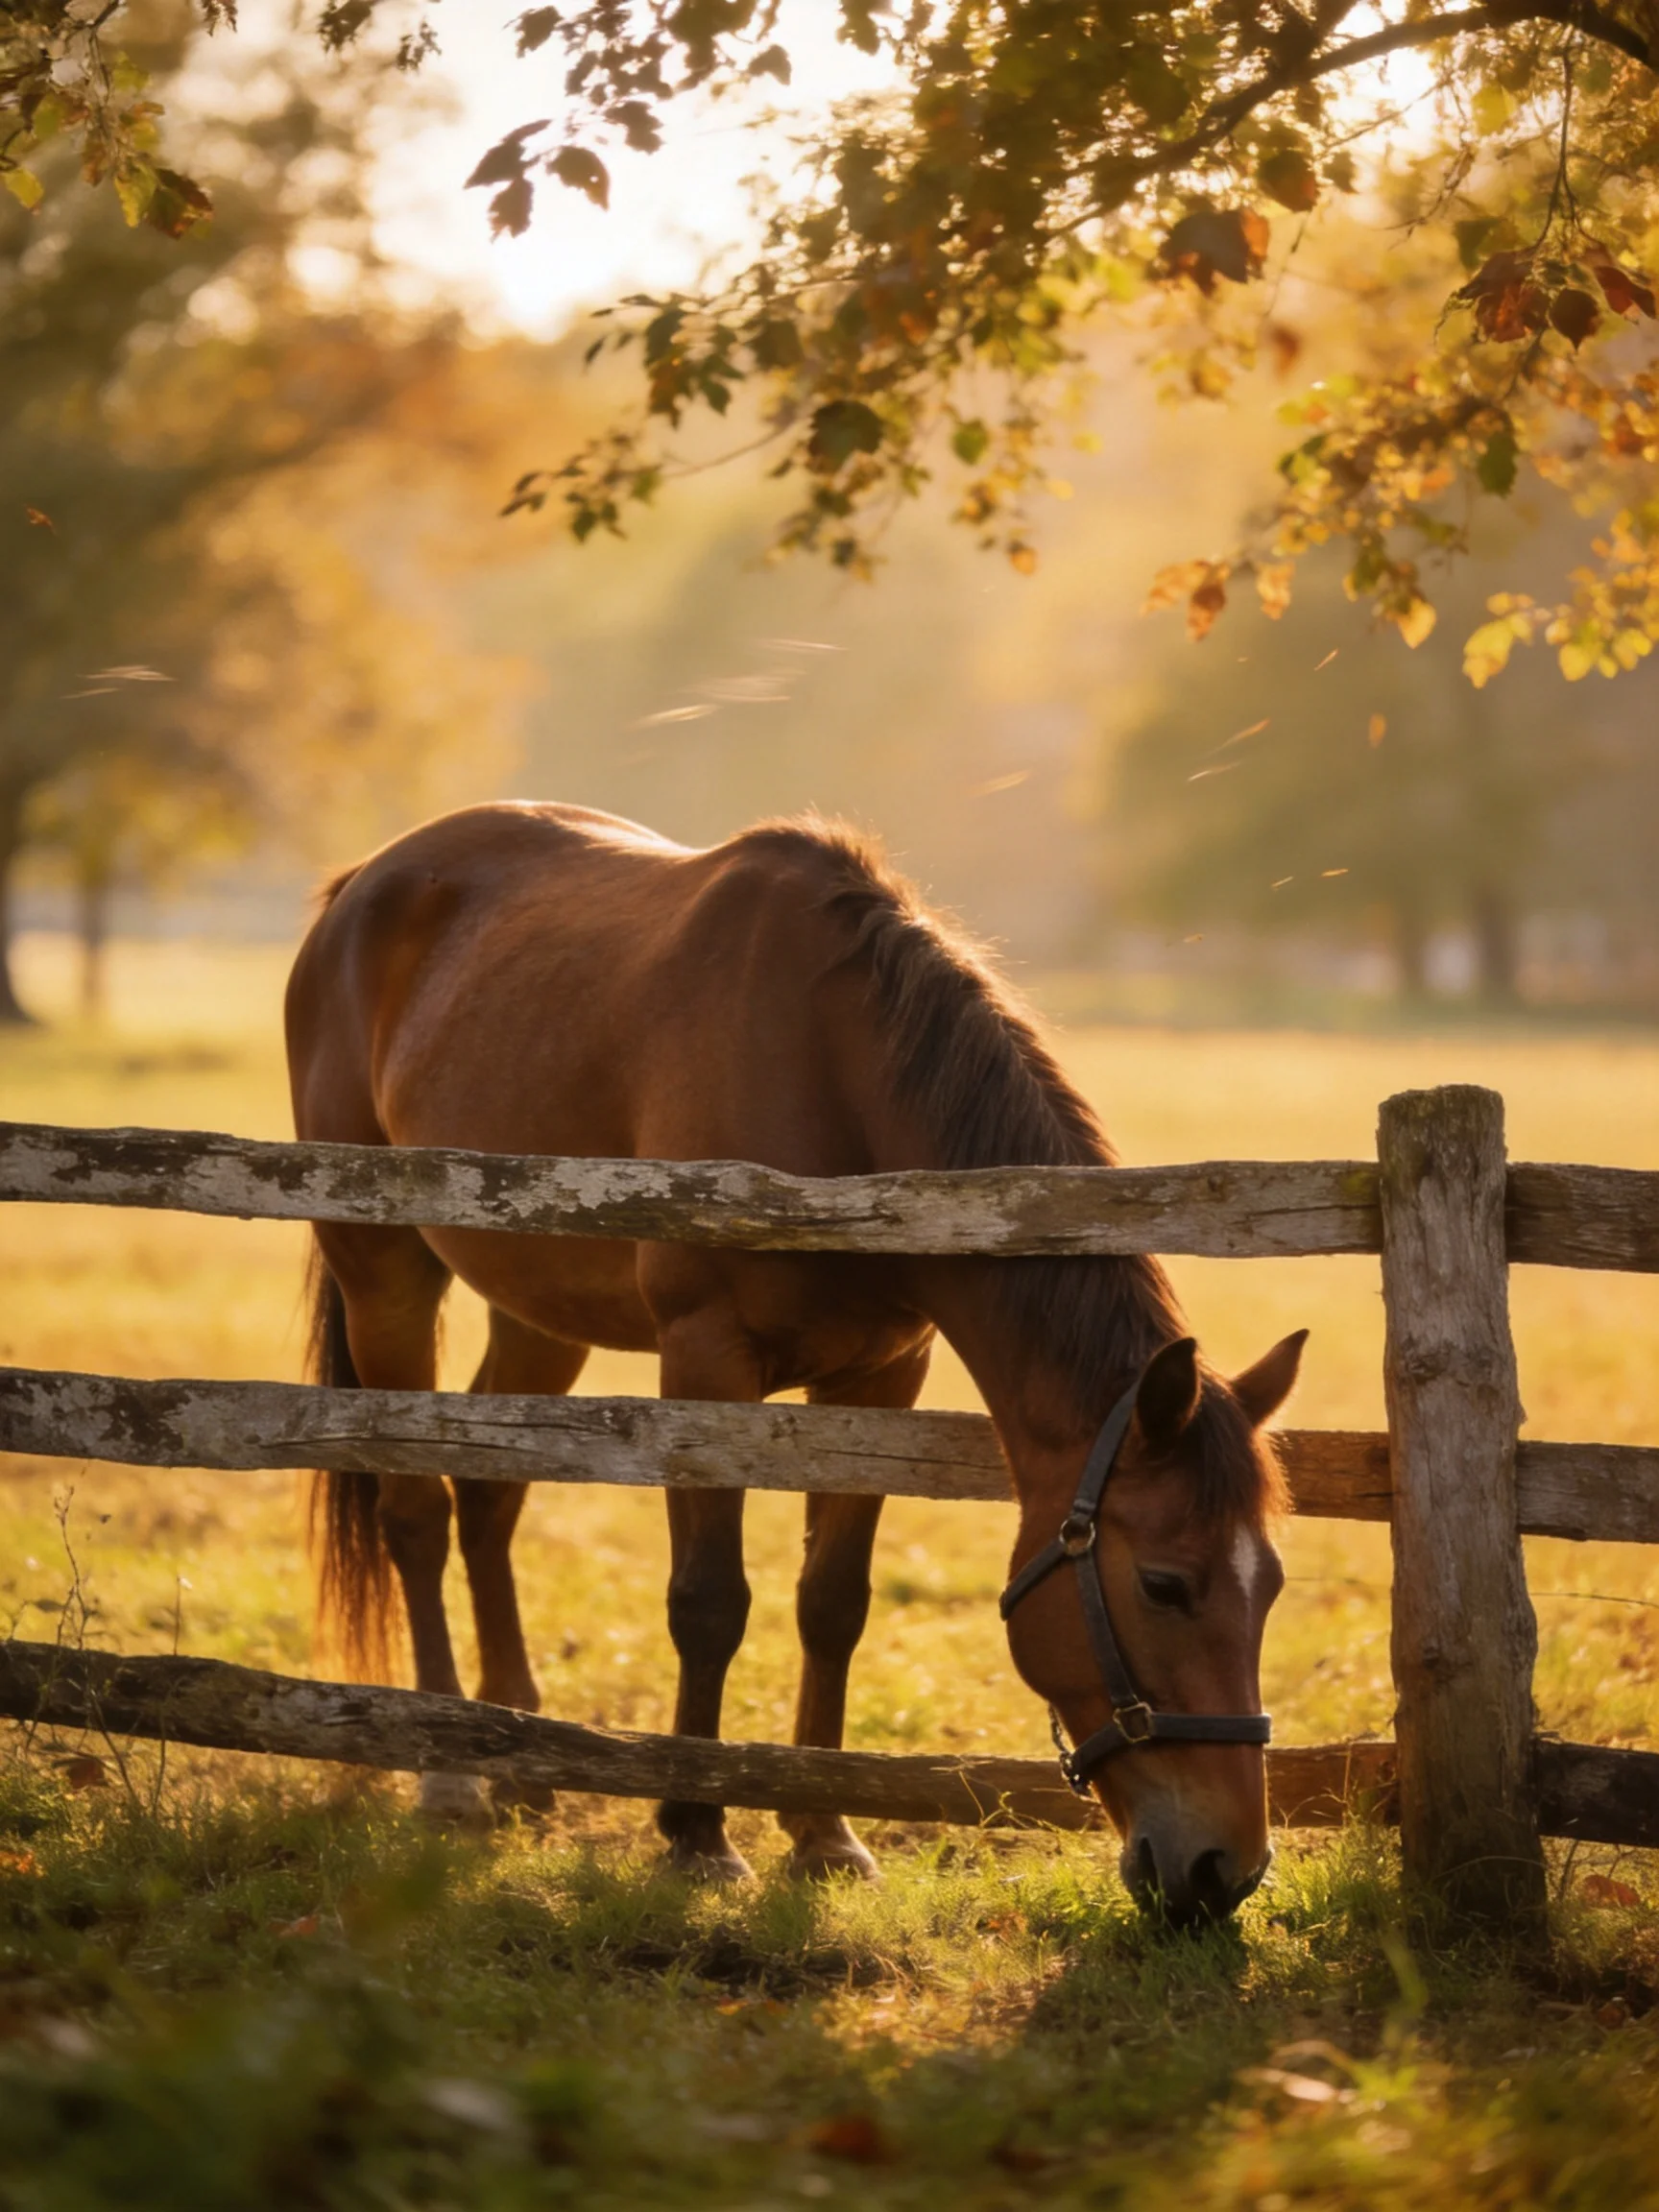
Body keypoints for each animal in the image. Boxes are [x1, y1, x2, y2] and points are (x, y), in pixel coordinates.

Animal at [285, 801, 1305, 1923]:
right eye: (1166, 1585)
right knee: (415, 1514)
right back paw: (450, 1774)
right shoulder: (706, 1364)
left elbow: (833, 1604)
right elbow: (708, 1603)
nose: (1225, 1867)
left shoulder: (879, 1378)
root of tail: (359, 887)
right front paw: (695, 1834)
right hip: (385, 1275)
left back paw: (519, 1756)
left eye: (1269, 1587)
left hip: (540, 1311)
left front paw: (823, 1835)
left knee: (486, 1493)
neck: (838, 1076)